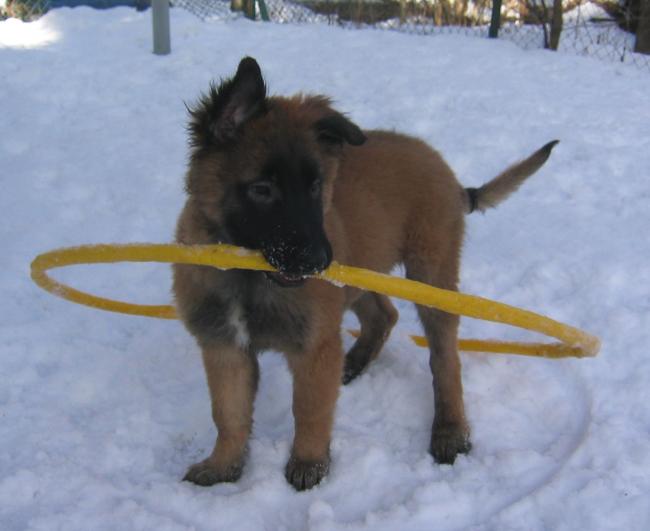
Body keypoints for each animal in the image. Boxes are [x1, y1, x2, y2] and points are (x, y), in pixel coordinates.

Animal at [173, 57, 556, 490]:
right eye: (262, 189)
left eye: (316, 186)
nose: (320, 260)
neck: (247, 274)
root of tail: (451, 176)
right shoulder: (224, 346)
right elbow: (229, 414)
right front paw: (224, 466)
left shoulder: (315, 346)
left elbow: (310, 410)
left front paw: (309, 465)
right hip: (361, 271)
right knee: (384, 315)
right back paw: (354, 362)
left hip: (430, 275)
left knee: (445, 360)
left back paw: (450, 430)